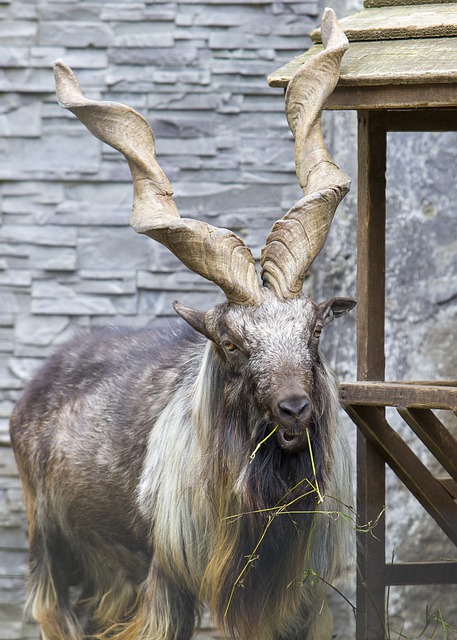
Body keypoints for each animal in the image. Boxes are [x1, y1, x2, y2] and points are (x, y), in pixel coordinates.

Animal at [8, 10, 354, 640]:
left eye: (315, 330)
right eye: (231, 343)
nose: (295, 409)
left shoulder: (303, 598)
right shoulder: (166, 581)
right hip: (52, 552)